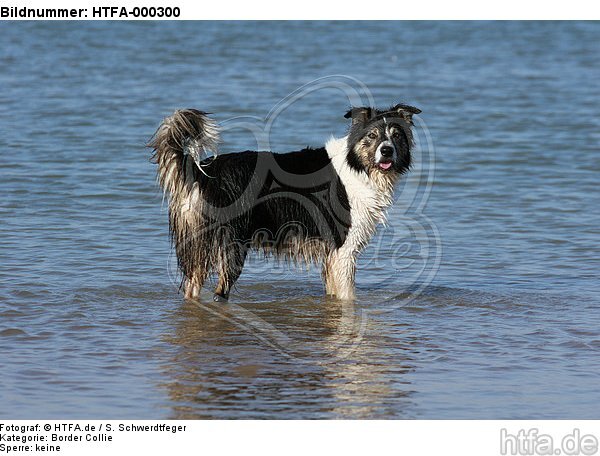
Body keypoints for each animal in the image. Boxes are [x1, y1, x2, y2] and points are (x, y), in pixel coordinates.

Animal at [149, 105, 422, 302]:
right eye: (372, 136)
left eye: (396, 136)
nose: (386, 151)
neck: (358, 165)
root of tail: (202, 172)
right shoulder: (344, 247)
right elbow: (348, 297)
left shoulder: (332, 254)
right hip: (231, 242)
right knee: (219, 293)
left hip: (199, 245)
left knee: (193, 288)